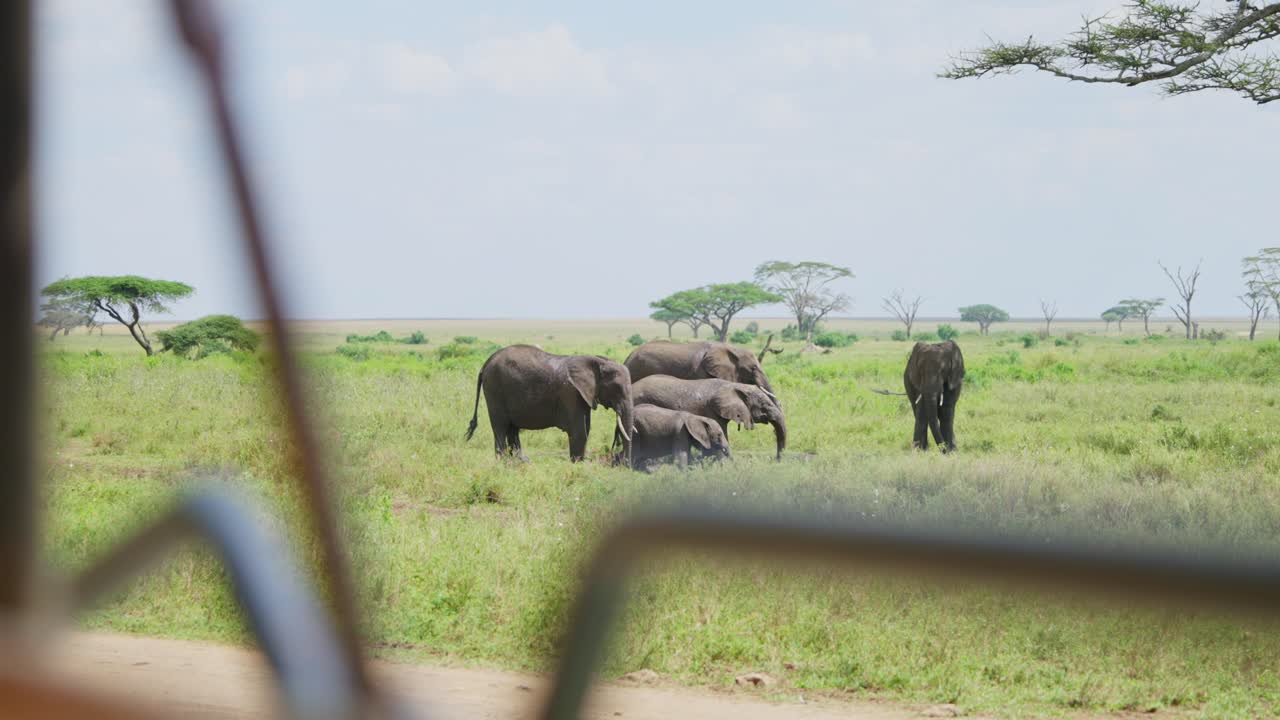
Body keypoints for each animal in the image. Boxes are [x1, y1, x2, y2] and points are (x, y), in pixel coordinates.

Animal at [465, 345, 635, 462]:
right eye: (617, 389)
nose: (625, 464)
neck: (598, 361)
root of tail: (485, 364)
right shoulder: (571, 394)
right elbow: (580, 431)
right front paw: (579, 464)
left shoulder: (583, 395)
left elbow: (586, 428)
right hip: (495, 390)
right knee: (500, 426)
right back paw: (504, 463)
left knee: (512, 428)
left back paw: (521, 462)